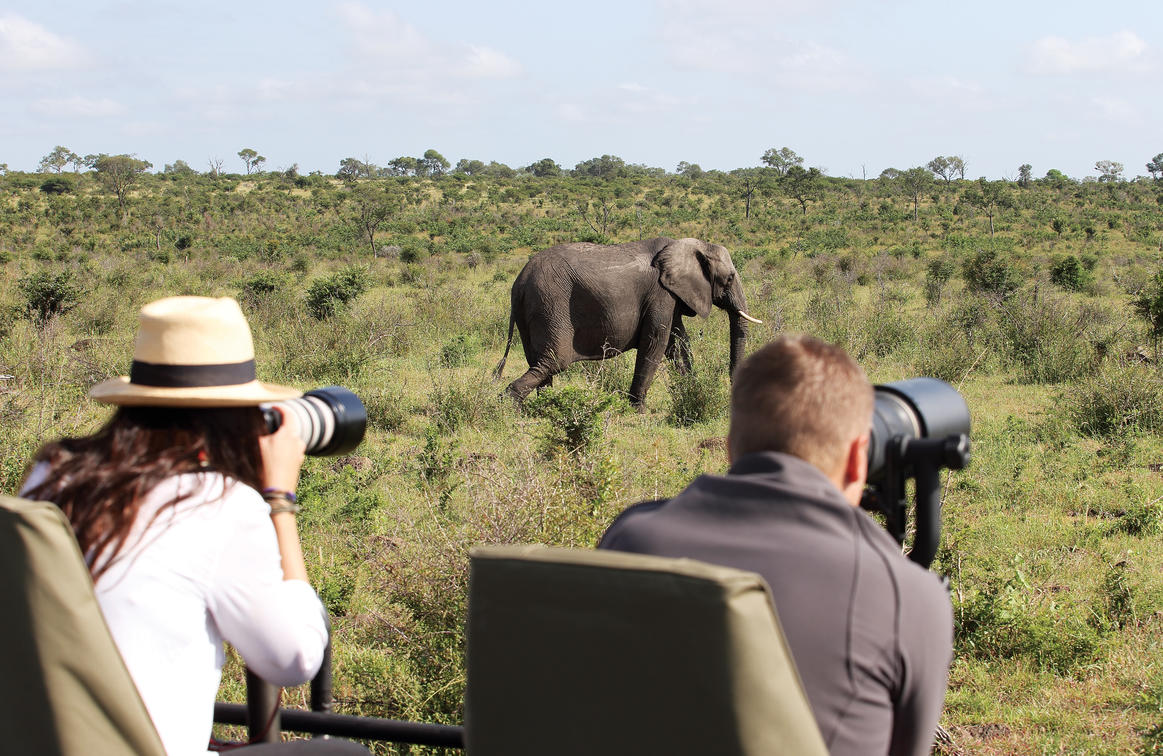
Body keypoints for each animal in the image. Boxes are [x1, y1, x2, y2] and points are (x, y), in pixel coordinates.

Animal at [493, 238, 758, 409]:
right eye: (730, 278)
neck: (690, 245)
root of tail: (519, 282)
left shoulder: (671, 295)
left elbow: (678, 342)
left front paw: (692, 389)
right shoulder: (660, 294)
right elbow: (656, 341)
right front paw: (637, 409)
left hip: (533, 310)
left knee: (539, 361)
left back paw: (545, 407)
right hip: (550, 304)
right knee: (554, 360)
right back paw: (507, 407)